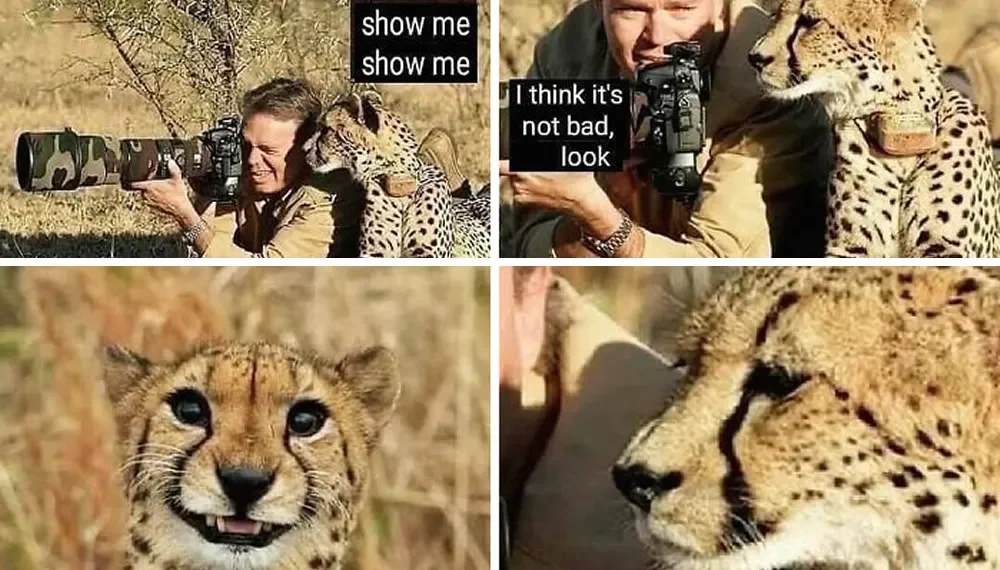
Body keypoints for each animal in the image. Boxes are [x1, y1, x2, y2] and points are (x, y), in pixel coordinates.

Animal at [748, 0, 1000, 258]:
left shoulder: (947, 249)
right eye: (775, 16)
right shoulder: (851, 249)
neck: (901, 131)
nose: (755, 58)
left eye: (810, 21)